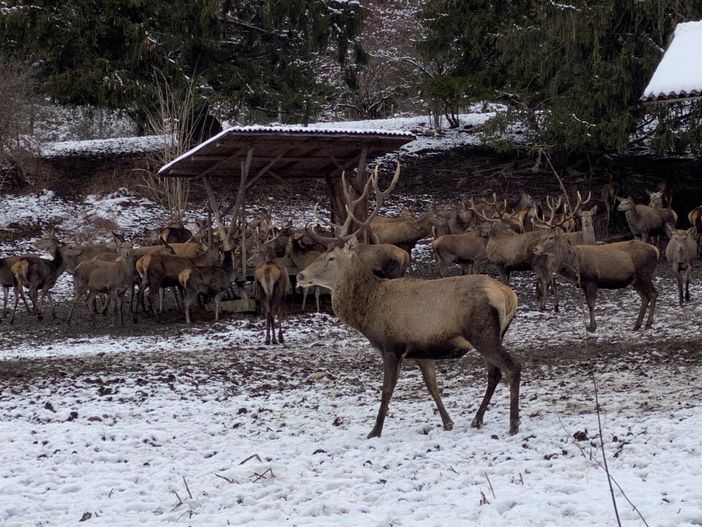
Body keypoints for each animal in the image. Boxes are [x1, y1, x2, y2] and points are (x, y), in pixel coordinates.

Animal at [536, 230, 664, 332]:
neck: (575, 264)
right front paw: (593, 325)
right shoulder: (584, 284)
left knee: (654, 293)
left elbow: (591, 304)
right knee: (645, 297)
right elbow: (588, 304)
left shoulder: (592, 280)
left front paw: (592, 327)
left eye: (551, 237)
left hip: (644, 273)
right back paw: (637, 325)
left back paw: (648, 324)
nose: (535, 249)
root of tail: (655, 250)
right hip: (635, 280)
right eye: (541, 236)